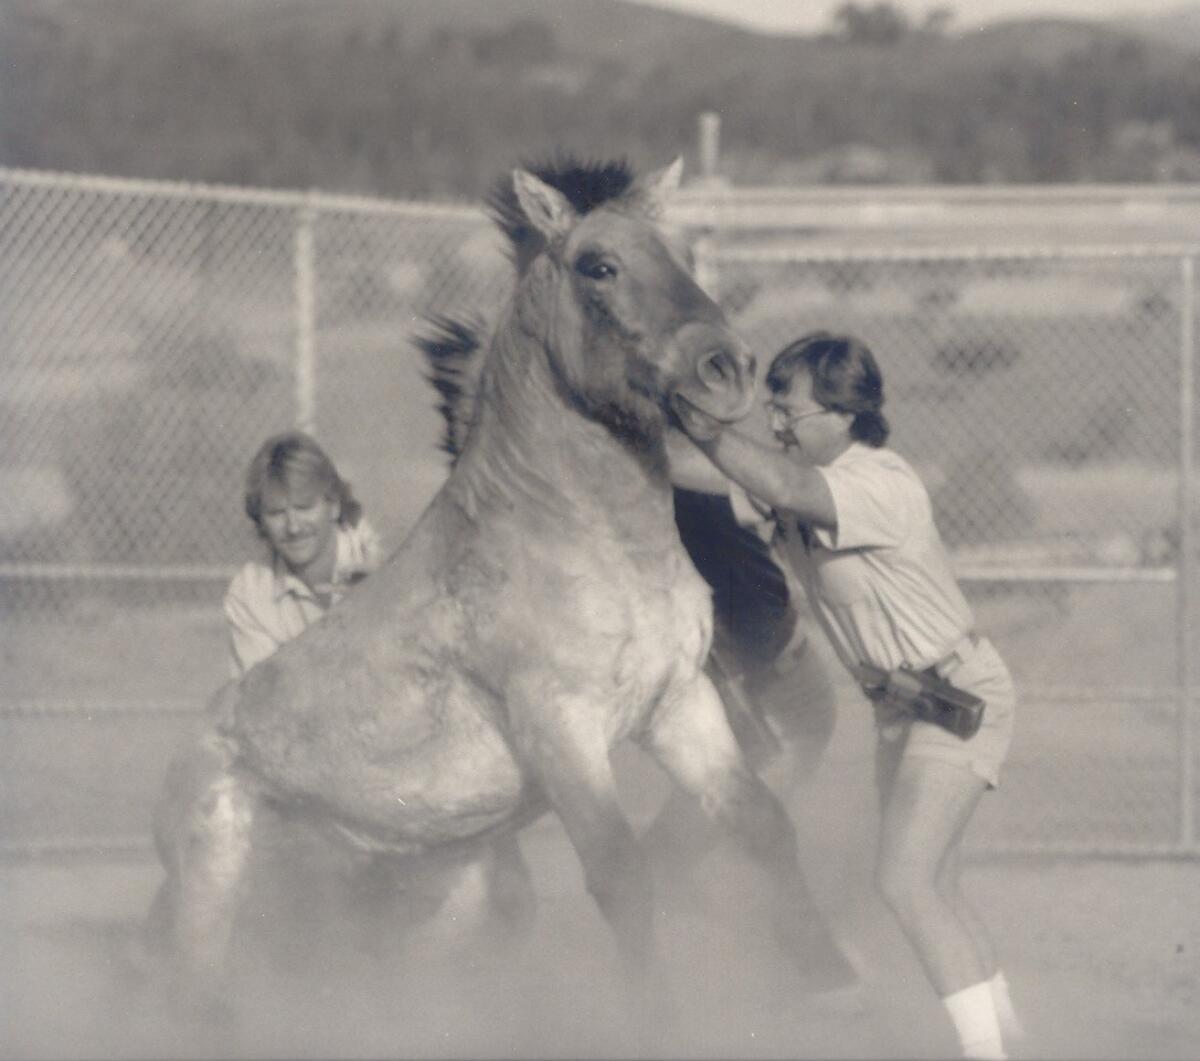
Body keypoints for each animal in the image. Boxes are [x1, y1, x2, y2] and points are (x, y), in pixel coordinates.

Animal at [147, 157, 825, 1027]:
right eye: (598, 266)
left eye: (674, 251)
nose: (729, 367)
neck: (573, 535)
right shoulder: (561, 729)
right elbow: (621, 876)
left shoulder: (678, 705)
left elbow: (762, 822)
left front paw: (831, 977)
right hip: (219, 902)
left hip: (428, 914)